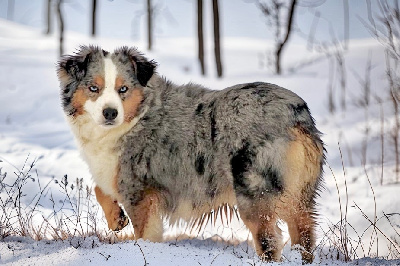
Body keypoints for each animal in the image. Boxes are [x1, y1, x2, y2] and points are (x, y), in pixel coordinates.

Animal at [56, 45, 324, 262]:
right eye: (93, 88)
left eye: (123, 89)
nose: (110, 113)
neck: (137, 118)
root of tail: (295, 113)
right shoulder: (119, 176)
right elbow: (99, 187)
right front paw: (116, 219)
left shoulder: (139, 191)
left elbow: (143, 233)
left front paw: (141, 251)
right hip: (299, 194)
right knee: (304, 235)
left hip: (255, 192)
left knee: (270, 241)